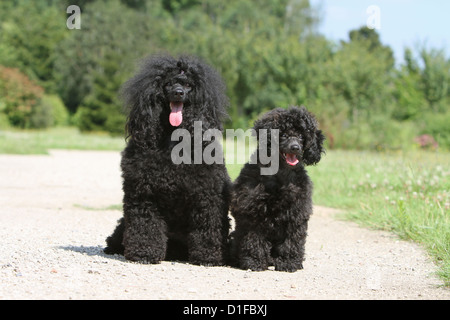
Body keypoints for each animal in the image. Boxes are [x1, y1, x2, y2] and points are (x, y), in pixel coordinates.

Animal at [104, 54, 232, 264]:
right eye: (168, 83)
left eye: (188, 85)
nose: (178, 93)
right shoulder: (144, 193)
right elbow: (145, 224)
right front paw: (144, 253)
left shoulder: (207, 195)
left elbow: (207, 225)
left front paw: (208, 256)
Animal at [232, 106, 324, 272]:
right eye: (284, 135)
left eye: (301, 136)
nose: (295, 147)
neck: (280, 174)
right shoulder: (252, 211)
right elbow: (254, 238)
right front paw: (254, 262)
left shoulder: (296, 212)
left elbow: (292, 240)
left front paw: (289, 262)